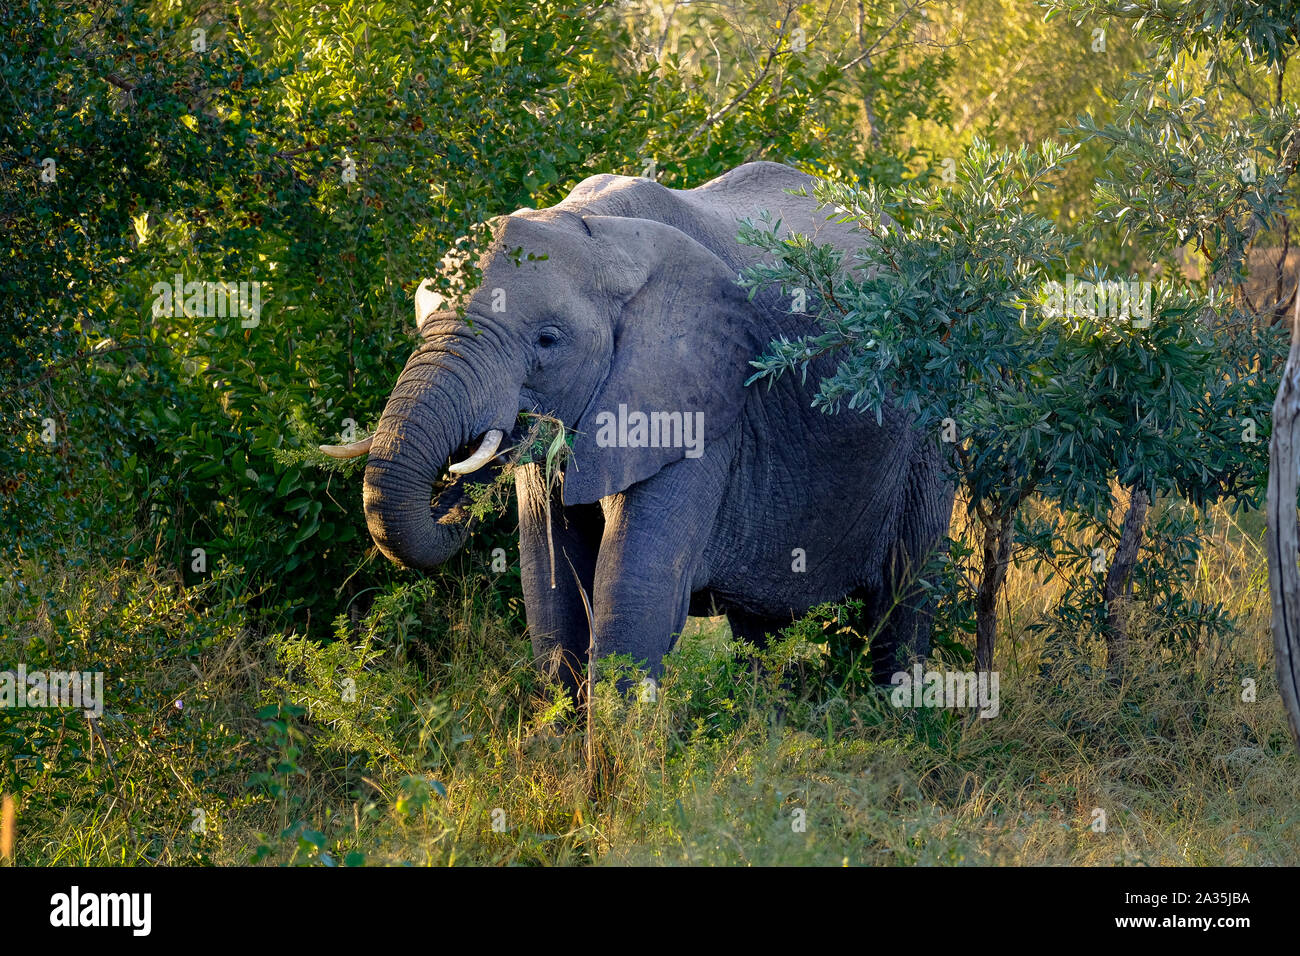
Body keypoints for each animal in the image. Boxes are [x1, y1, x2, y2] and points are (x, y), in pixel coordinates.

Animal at [323, 161, 955, 697]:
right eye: (422, 323)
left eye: (547, 341)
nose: (453, 481)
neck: (597, 235)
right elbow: (550, 581)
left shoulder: (701, 402)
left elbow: (636, 588)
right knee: (762, 622)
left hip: (930, 427)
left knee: (906, 591)